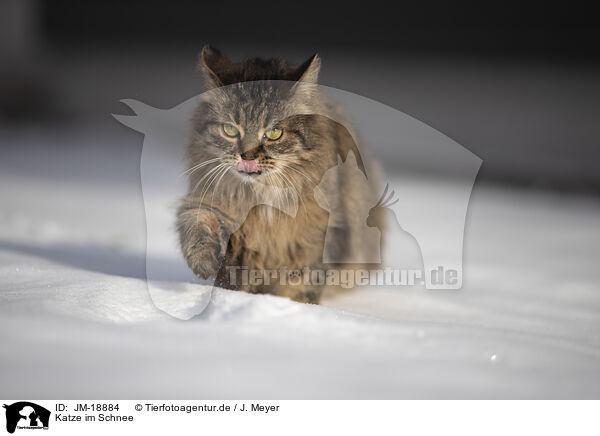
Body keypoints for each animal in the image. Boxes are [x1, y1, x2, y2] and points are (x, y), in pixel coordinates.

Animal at [178, 45, 384, 304]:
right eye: (230, 130)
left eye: (275, 133)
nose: (247, 156)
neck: (263, 197)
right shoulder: (209, 203)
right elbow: (197, 226)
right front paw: (205, 262)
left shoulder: (316, 238)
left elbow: (302, 283)